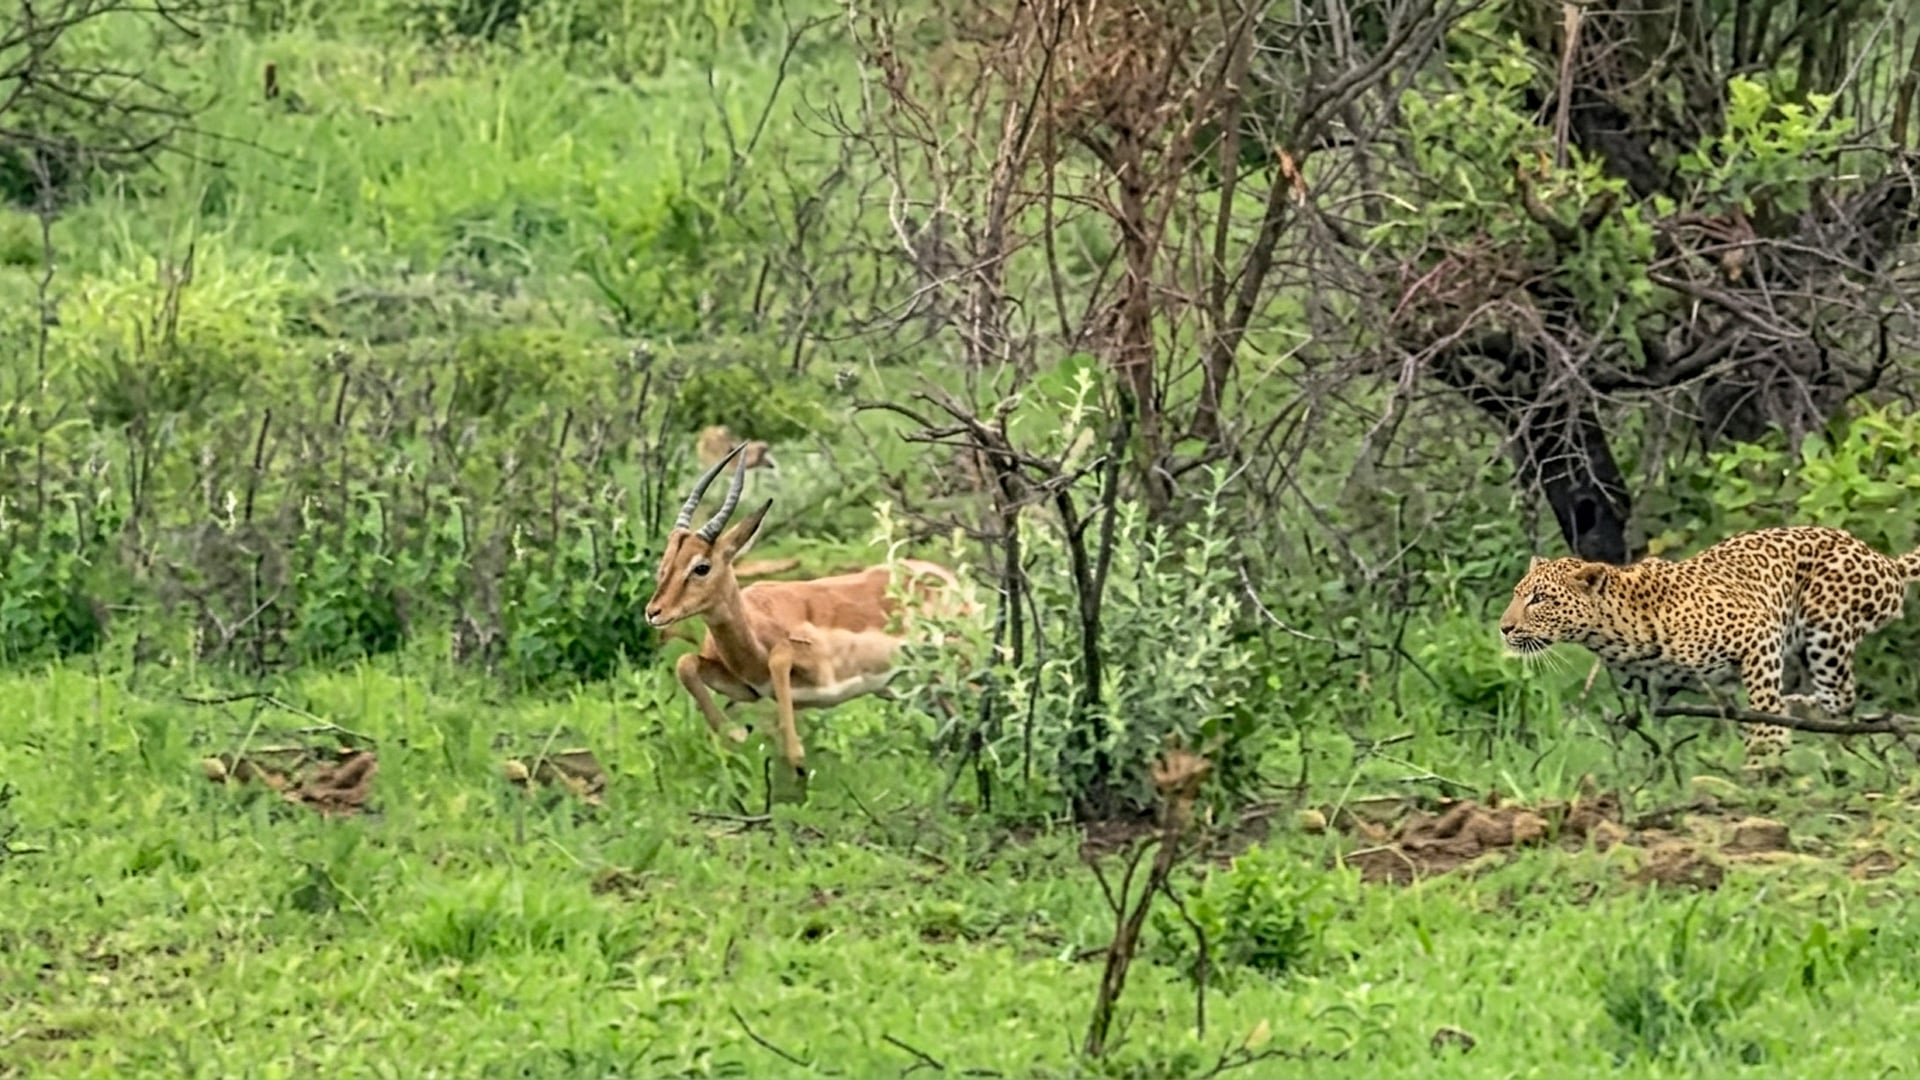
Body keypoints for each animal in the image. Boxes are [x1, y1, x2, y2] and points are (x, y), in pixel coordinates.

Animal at [646, 443, 971, 781]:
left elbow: (779, 663)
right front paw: (734, 734)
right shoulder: (749, 689)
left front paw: (786, 753)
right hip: (922, 687)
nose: (654, 612)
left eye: (701, 567)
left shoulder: (815, 672)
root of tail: (950, 578)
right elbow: (685, 664)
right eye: (665, 563)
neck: (753, 627)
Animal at [1498, 524, 1920, 771]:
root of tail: (1884, 560)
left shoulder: (1758, 633)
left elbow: (1762, 703)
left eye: (1539, 599)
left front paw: (1764, 753)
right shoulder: (1656, 694)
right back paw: (1802, 710)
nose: (1504, 628)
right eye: (1518, 594)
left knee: (1842, 698)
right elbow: (1656, 736)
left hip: (1827, 633)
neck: (1613, 634)